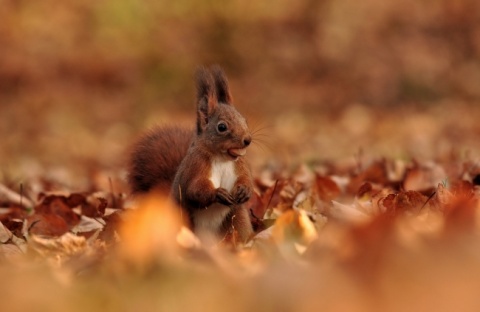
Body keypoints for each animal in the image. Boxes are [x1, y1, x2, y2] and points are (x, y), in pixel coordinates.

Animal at [127, 65, 255, 241]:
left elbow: (246, 179)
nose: (247, 140)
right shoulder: (194, 167)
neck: (222, 159)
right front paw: (218, 193)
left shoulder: (240, 166)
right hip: (182, 220)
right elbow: (194, 190)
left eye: (245, 120)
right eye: (222, 127)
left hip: (238, 218)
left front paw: (245, 190)